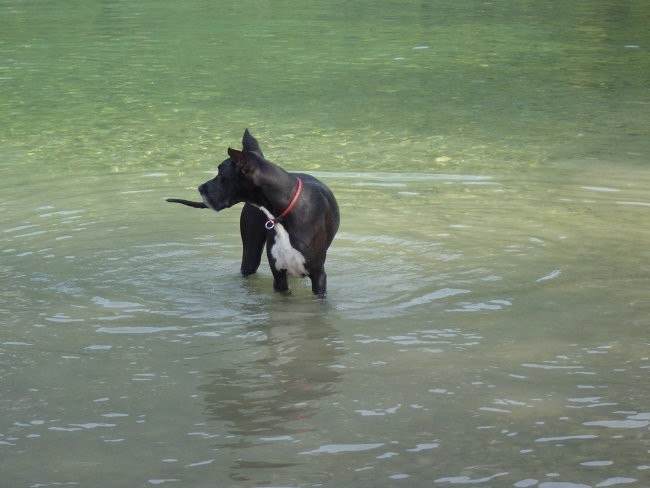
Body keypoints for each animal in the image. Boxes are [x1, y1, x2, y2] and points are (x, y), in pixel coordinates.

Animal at [166, 130, 340, 298]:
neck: (284, 212)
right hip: (251, 254)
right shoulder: (279, 277)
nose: (200, 188)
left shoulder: (318, 277)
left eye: (221, 174)